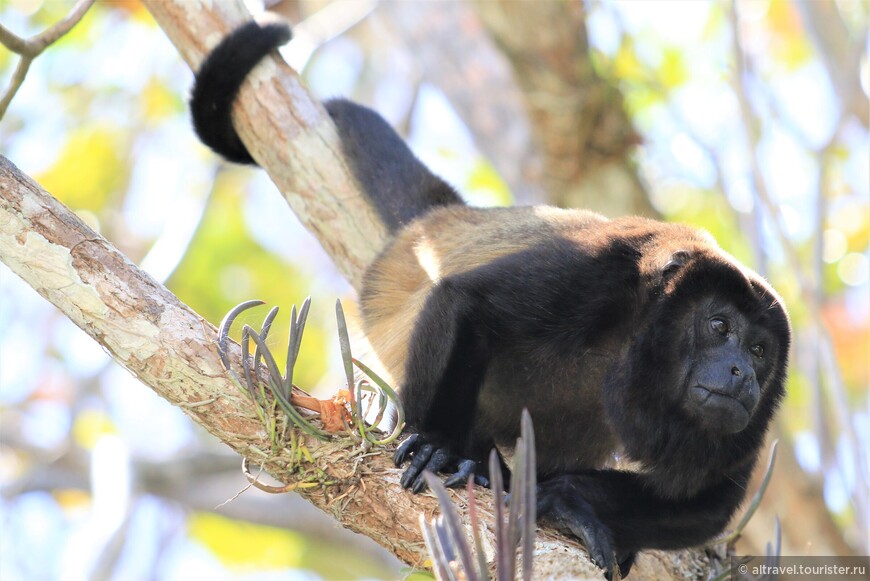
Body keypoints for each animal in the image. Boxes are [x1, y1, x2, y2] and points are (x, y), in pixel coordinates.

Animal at [189, 20, 792, 576]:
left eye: (760, 351)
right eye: (719, 327)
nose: (741, 372)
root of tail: (439, 220)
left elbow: (712, 502)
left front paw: (568, 501)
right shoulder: (603, 273)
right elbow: (471, 304)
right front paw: (438, 446)